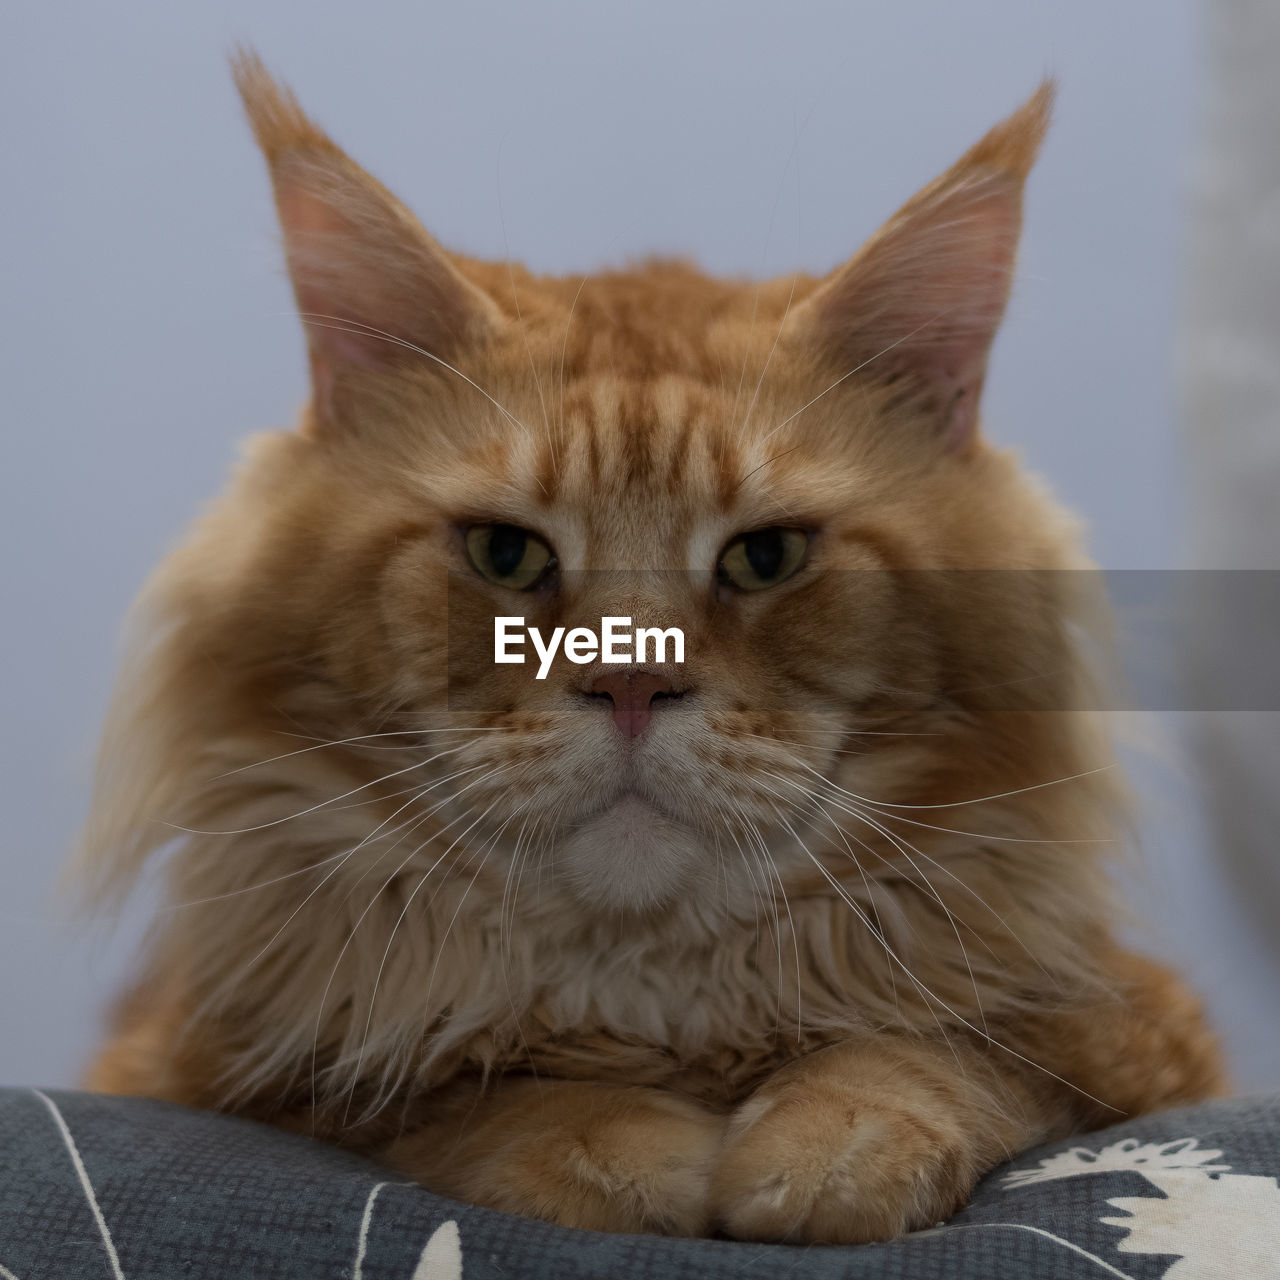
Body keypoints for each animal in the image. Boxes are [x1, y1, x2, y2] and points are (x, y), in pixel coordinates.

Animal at [80, 55, 1218, 1244]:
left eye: (765, 557)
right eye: (504, 553)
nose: (630, 681)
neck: (656, 998)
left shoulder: (1139, 1029)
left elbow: (938, 1052)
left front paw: (830, 1150)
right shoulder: (193, 1058)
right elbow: (454, 1087)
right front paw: (616, 1149)